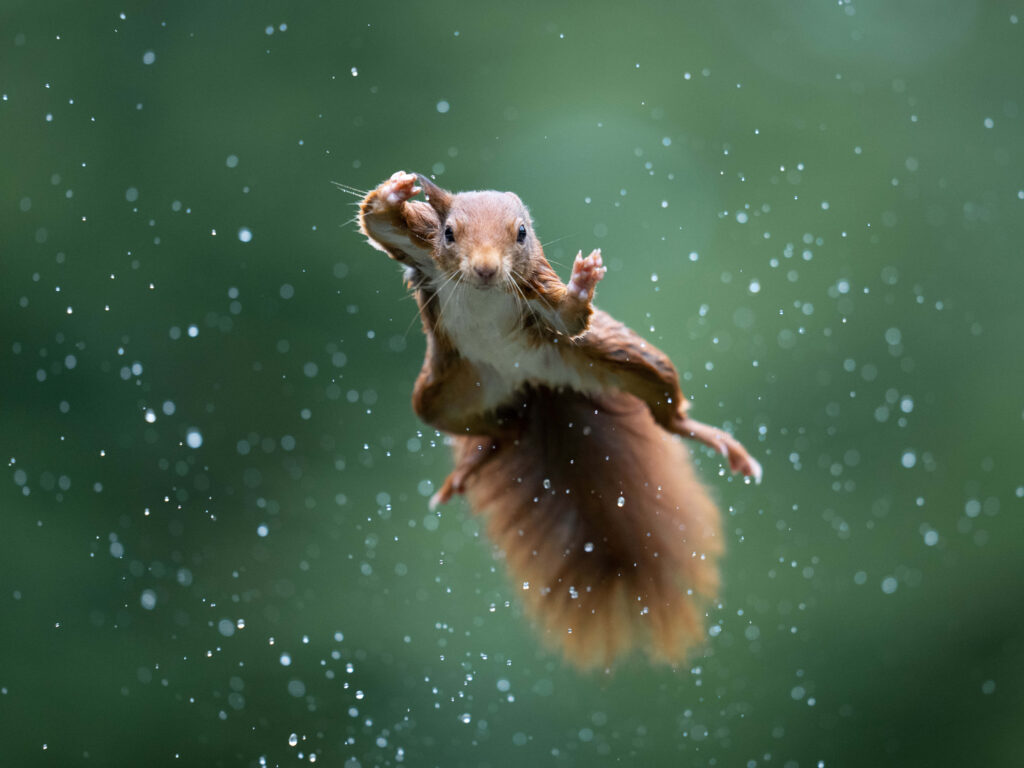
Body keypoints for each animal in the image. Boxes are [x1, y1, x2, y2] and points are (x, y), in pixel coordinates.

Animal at [357, 171, 762, 668]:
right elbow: (378, 222)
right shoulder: (421, 249)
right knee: (502, 429)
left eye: (521, 233)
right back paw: (472, 464)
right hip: (444, 394)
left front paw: (583, 281)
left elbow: (569, 317)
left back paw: (721, 443)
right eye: (449, 233)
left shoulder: (536, 292)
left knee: (666, 412)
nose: (486, 270)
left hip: (620, 358)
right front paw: (397, 189)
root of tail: (533, 384)